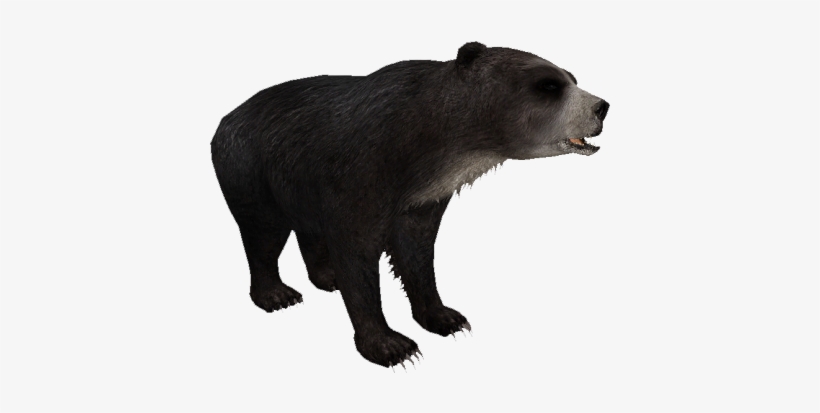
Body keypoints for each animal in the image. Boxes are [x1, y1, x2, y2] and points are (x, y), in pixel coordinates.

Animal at [210, 42, 610, 368]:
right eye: (549, 85)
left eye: (572, 77)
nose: (602, 107)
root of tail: (225, 119)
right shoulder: (362, 170)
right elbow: (357, 251)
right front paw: (391, 346)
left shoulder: (422, 197)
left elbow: (416, 251)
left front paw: (446, 317)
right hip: (250, 167)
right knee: (263, 231)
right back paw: (276, 294)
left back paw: (326, 276)